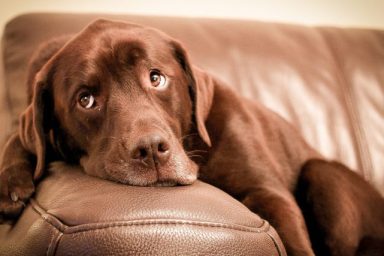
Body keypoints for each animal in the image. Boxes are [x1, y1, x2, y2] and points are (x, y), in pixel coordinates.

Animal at [0, 19, 384, 255]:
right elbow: (19, 136)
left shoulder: (268, 192)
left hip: (323, 172)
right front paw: (10, 183)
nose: (151, 149)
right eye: (86, 99)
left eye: (156, 78)